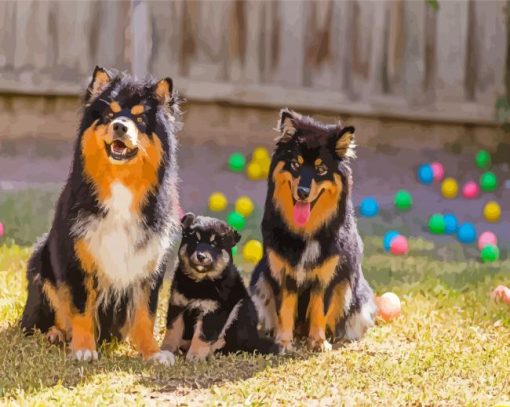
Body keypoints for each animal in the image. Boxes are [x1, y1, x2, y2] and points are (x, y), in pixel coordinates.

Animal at [20, 67, 183, 366]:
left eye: (140, 118)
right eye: (109, 114)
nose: (120, 126)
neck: (120, 186)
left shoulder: (151, 263)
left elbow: (146, 313)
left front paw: (152, 352)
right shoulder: (78, 258)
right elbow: (81, 307)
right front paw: (84, 348)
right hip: (40, 260)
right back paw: (57, 333)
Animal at [161, 215, 278, 362]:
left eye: (214, 244)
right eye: (195, 240)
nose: (201, 256)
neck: (200, 282)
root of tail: (255, 338)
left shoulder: (213, 310)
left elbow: (202, 335)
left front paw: (195, 356)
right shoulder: (178, 304)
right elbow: (173, 329)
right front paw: (166, 349)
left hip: (241, 309)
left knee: (231, 344)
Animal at [249, 109, 376, 354]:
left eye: (321, 169)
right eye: (296, 164)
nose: (303, 192)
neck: (305, 232)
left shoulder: (326, 277)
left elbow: (319, 309)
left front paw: (318, 342)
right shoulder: (283, 274)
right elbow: (285, 310)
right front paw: (283, 343)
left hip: (354, 292)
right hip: (260, 280)